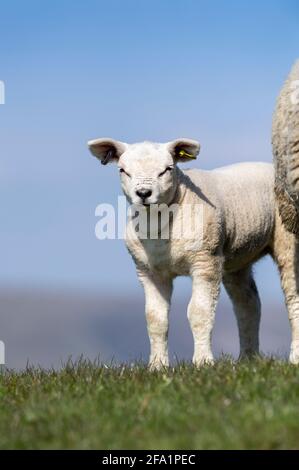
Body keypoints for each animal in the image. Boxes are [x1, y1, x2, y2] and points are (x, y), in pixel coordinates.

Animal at [88, 136, 299, 368]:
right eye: (123, 170)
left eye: (167, 169)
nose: (143, 193)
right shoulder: (148, 270)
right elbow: (155, 318)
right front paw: (157, 366)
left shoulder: (206, 261)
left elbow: (199, 312)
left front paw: (203, 362)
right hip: (236, 257)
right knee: (248, 305)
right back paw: (247, 359)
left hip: (287, 238)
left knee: (292, 296)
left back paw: (294, 356)